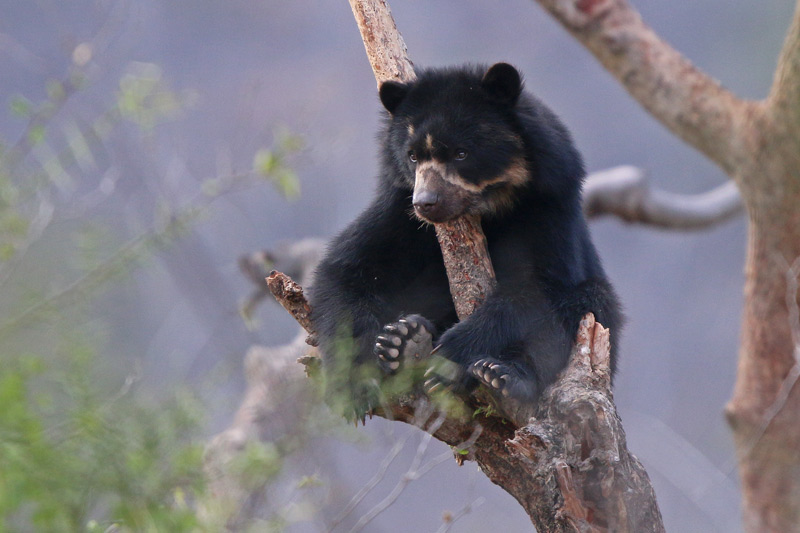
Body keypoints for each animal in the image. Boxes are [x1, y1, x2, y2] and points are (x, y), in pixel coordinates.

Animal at [310, 62, 620, 420]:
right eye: (412, 156)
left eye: (461, 153)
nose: (426, 203)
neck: (491, 209)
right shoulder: (399, 210)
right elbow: (349, 270)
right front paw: (355, 387)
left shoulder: (548, 206)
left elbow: (536, 289)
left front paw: (452, 353)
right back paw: (402, 341)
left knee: (585, 307)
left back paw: (499, 374)